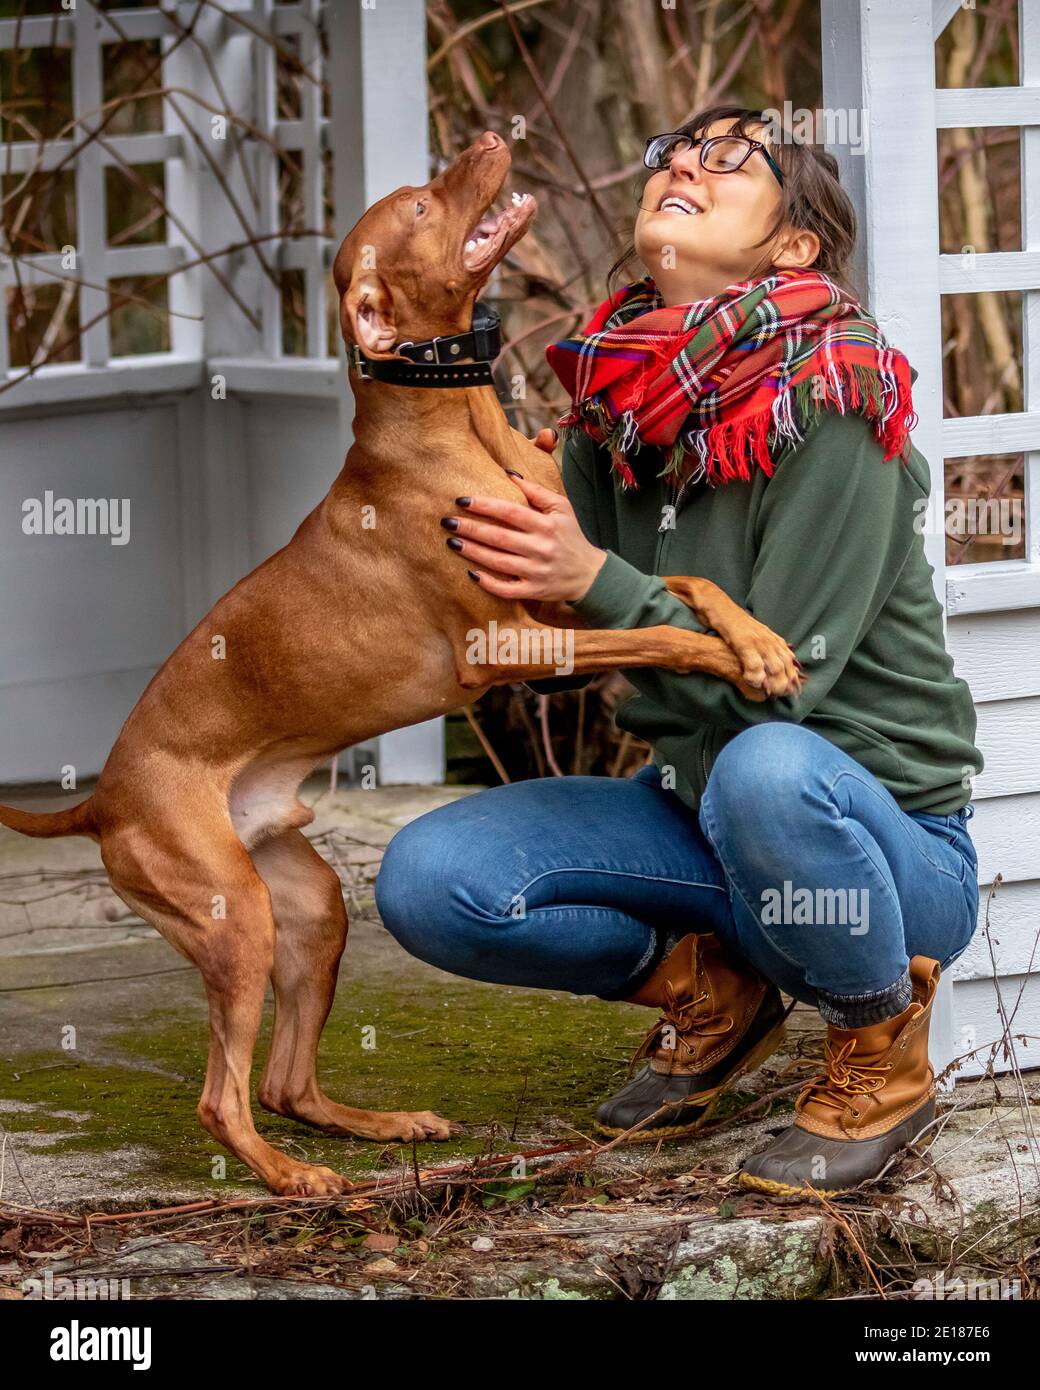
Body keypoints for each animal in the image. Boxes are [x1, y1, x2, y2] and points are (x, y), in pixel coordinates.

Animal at [0, 132, 800, 1195]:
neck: (457, 424)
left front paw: (759, 641)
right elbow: (663, 628)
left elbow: (688, 584)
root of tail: (102, 800)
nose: (491, 139)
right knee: (223, 1098)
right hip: (232, 914)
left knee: (286, 1081)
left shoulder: (562, 590)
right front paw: (731, 659)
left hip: (308, 911)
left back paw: (375, 1126)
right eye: (419, 205)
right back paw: (290, 1177)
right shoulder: (511, 647)